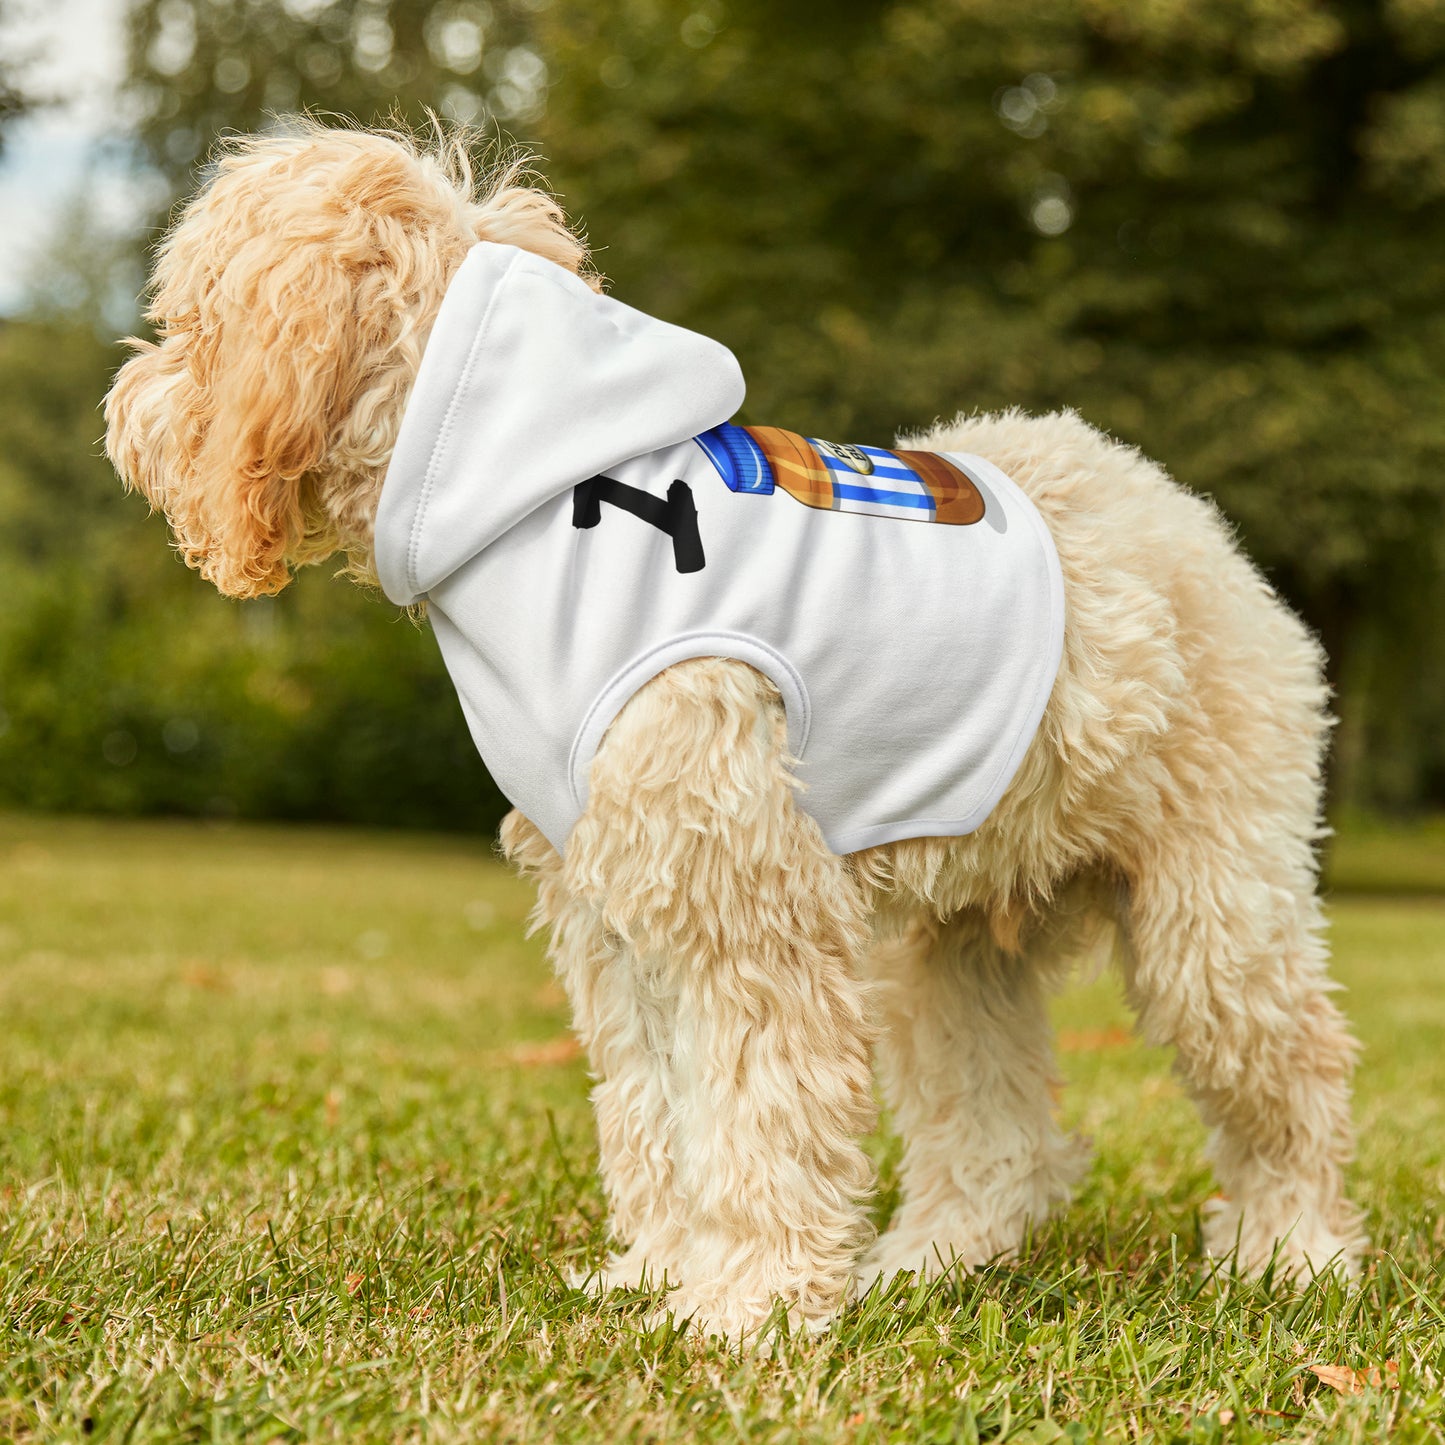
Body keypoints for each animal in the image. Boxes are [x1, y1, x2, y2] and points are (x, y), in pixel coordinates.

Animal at [104, 124, 1364, 1340]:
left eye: (190, 318)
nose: (124, 406)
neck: (526, 496)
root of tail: (1186, 519)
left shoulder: (743, 903)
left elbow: (759, 1109)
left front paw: (747, 1305)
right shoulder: (617, 909)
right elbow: (655, 1109)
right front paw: (661, 1273)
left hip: (1212, 910)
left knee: (1292, 1072)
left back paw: (1290, 1251)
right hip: (950, 944)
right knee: (995, 1130)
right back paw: (929, 1259)